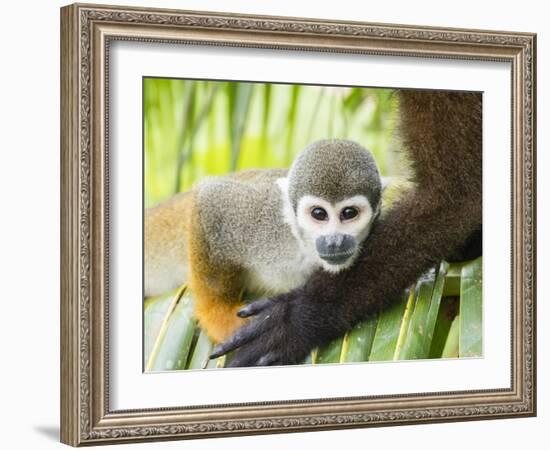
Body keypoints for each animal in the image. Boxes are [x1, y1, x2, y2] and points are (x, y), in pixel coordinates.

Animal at [144, 139, 382, 342]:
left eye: (349, 213)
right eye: (319, 214)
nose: (335, 241)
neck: (302, 246)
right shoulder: (262, 219)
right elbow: (211, 198)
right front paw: (218, 315)